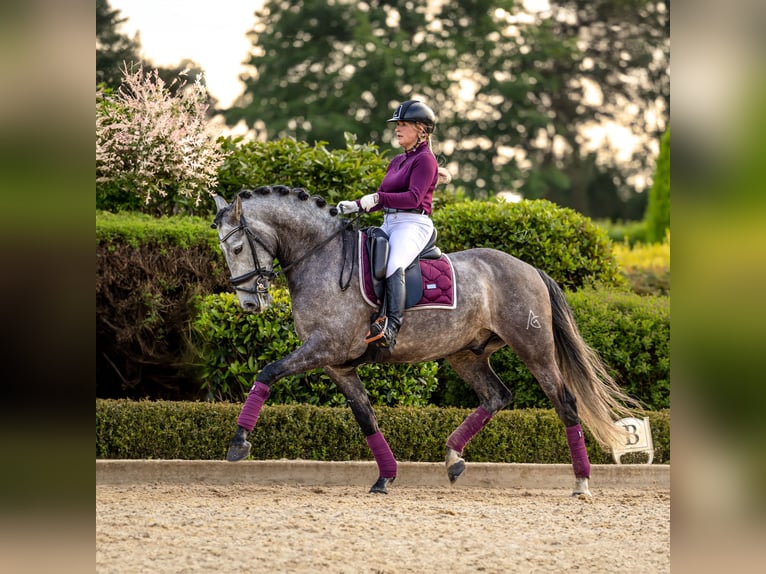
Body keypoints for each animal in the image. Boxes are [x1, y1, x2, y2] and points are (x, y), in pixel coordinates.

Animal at [212, 187, 636, 498]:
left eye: (237, 248)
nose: (249, 304)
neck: (322, 258)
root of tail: (530, 268)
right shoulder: (338, 364)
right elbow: (365, 416)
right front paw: (385, 477)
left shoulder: (324, 349)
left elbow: (267, 373)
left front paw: (238, 444)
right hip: (466, 355)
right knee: (496, 396)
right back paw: (453, 458)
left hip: (534, 349)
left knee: (565, 402)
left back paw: (581, 483)